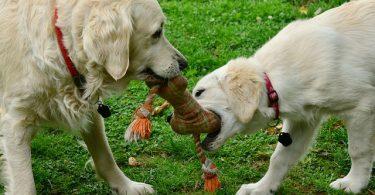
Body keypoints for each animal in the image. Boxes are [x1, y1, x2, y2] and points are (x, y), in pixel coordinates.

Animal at [0, 0, 188, 195]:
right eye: (157, 32)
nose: (184, 63)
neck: (62, 47)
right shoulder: (16, 122)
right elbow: (25, 185)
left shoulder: (90, 109)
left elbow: (105, 156)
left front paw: (127, 186)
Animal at [194, 0, 375, 194]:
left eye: (199, 92)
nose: (175, 117)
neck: (273, 81)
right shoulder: (303, 121)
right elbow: (279, 158)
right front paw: (261, 188)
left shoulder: (361, 107)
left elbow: (357, 150)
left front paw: (354, 184)